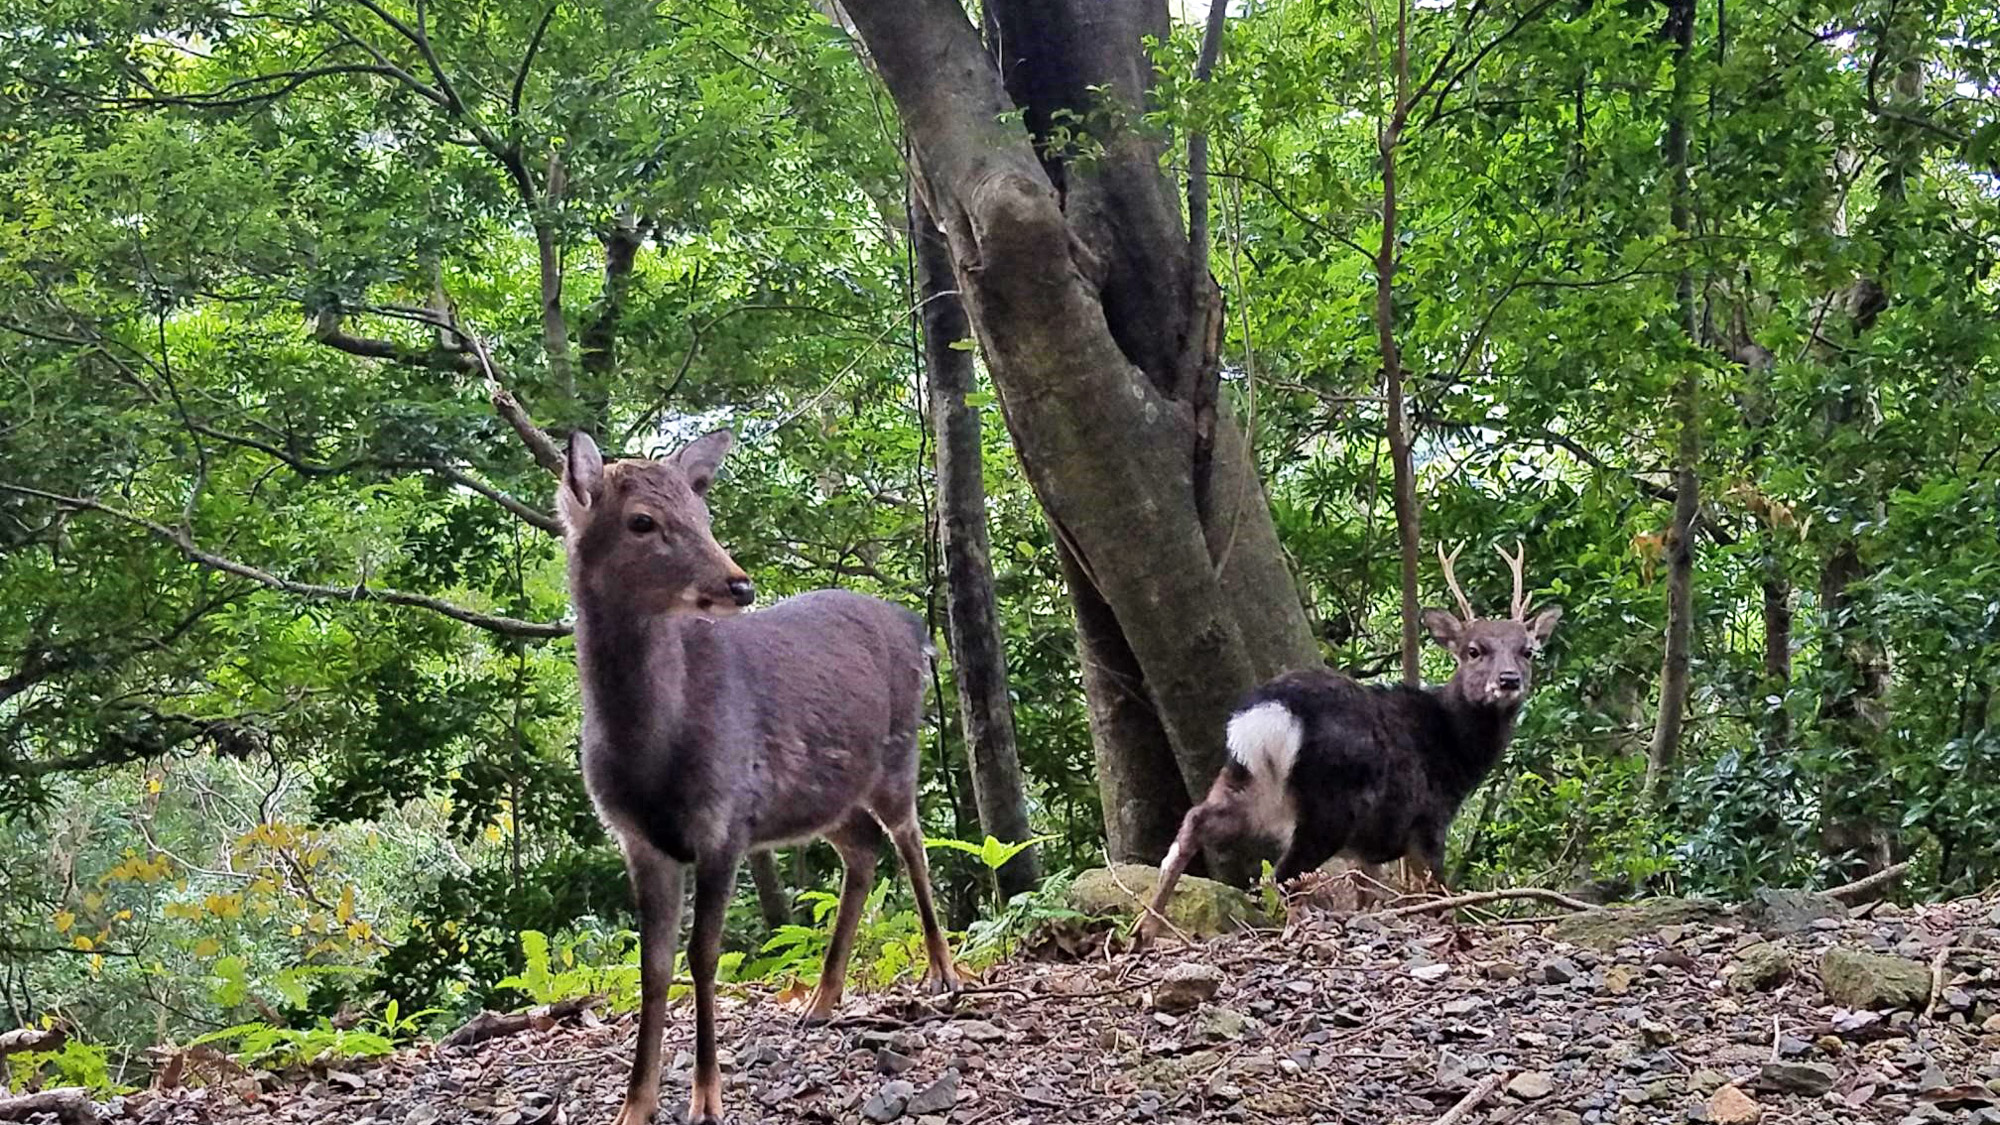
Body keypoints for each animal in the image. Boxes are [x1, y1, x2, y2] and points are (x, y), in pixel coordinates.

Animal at [560, 428, 964, 1120]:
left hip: (898, 754)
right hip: (821, 797)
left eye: (703, 515)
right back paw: (821, 1000)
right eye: (642, 521)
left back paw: (942, 971)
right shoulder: (638, 840)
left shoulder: (724, 818)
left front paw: (706, 1099)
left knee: (912, 841)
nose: (739, 584)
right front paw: (634, 1105)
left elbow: (704, 955)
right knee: (864, 850)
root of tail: (918, 625)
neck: (653, 751)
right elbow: (653, 967)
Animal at [1136, 540, 1552, 940]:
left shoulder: (1369, 846)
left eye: (1528, 650)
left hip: (1245, 782)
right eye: (1474, 650)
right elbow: (1438, 894)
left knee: (1194, 823)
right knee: (1282, 874)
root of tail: (1270, 713)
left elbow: (1368, 892)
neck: (1455, 749)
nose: (1509, 680)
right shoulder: (1428, 819)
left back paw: (1146, 931)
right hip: (1329, 805)